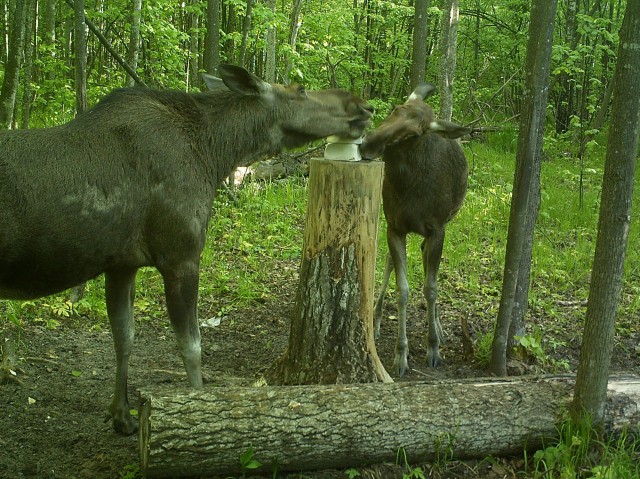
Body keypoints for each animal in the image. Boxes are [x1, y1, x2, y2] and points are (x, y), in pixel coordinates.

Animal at [0, 64, 372, 436]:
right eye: (301, 89)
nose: (363, 105)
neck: (214, 156)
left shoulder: (122, 264)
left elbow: (124, 337)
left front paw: (122, 415)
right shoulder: (181, 255)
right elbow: (191, 346)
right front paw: (197, 413)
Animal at [360, 84, 470, 376]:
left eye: (414, 133)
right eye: (394, 109)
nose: (367, 144)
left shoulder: (437, 229)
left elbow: (430, 287)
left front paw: (433, 348)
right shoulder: (394, 226)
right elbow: (403, 289)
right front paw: (401, 354)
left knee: (426, 262)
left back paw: (439, 328)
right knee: (392, 261)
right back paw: (376, 317)